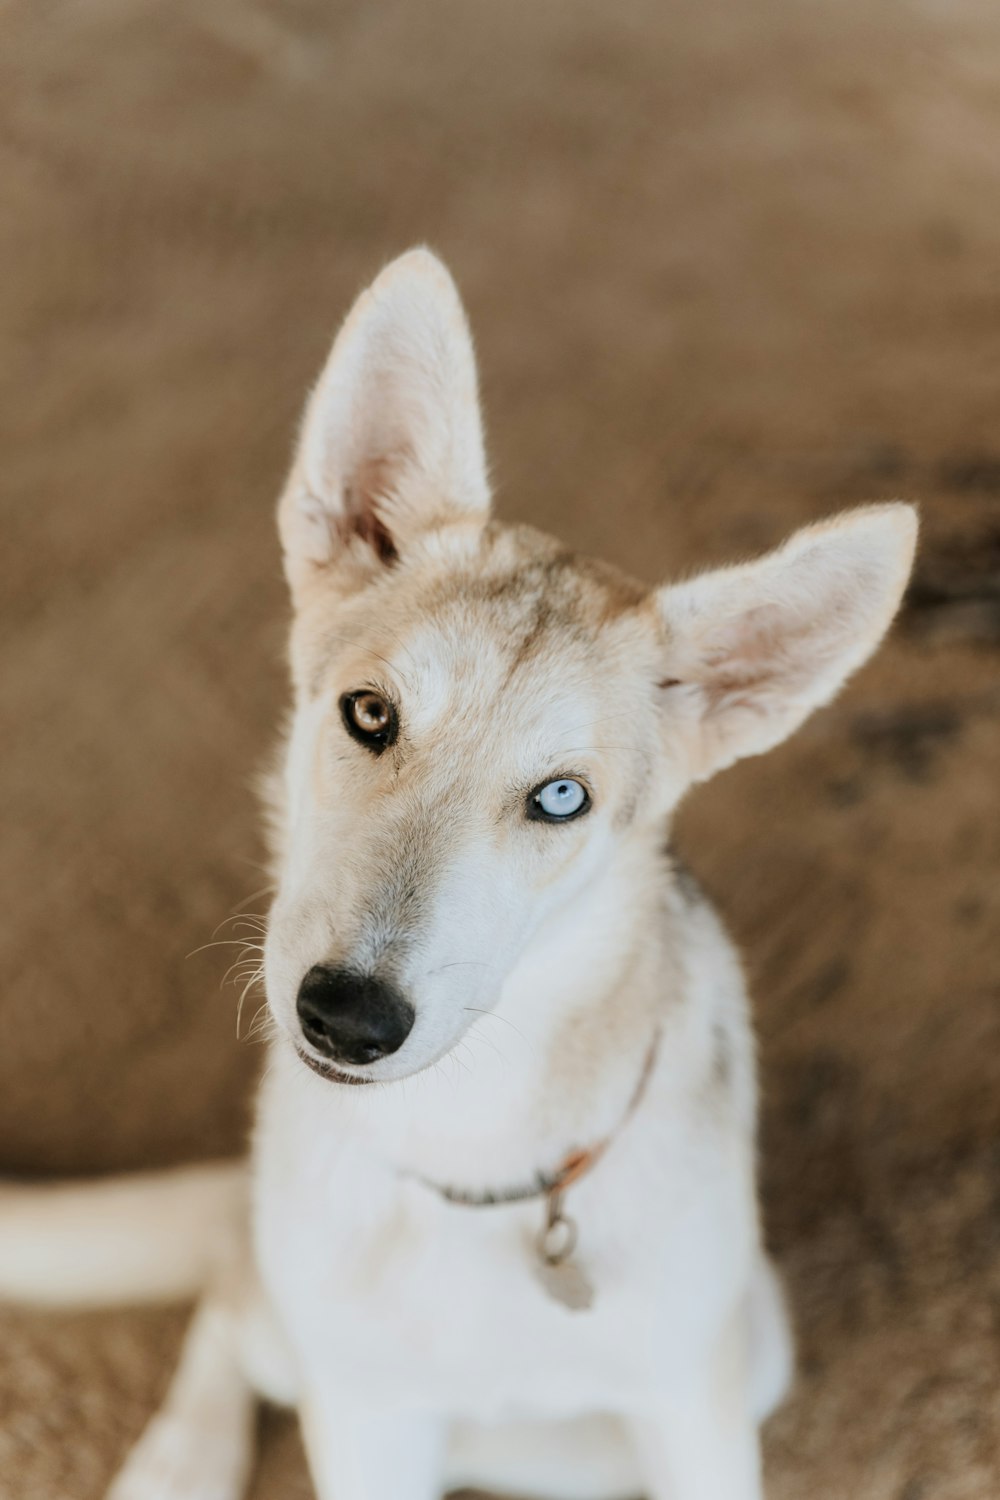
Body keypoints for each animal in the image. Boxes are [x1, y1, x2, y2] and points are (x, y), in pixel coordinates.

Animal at [0, 252, 917, 1494]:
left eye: (562, 798)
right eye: (368, 715)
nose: (346, 1018)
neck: (467, 1148)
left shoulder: (696, 1415)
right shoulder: (366, 1420)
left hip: (754, 1344)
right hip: (300, 1334)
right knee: (230, 1295)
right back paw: (178, 1461)